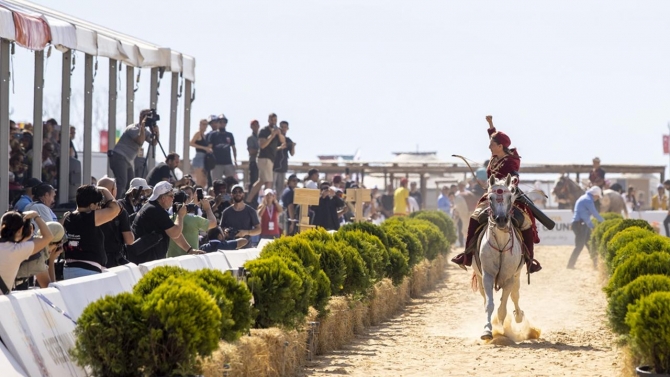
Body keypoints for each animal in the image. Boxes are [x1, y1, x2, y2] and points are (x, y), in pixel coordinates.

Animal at [476, 175, 528, 340]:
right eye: (490, 197)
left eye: (509, 197)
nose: (501, 219)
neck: (500, 244)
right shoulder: (487, 276)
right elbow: (489, 304)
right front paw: (487, 330)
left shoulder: (509, 277)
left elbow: (503, 307)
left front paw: (501, 330)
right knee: (485, 298)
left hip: (517, 276)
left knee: (515, 295)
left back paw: (518, 316)